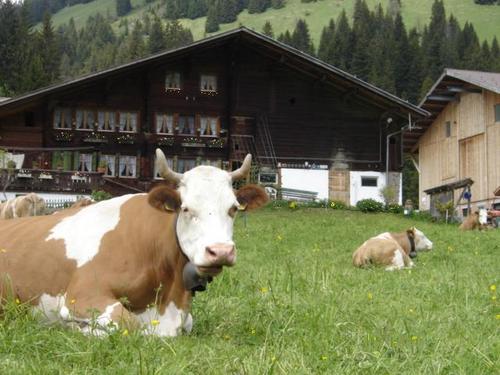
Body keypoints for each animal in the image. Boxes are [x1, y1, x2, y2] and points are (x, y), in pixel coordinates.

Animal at [0, 151, 270, 338]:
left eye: (233, 208)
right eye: (185, 208)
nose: (220, 251)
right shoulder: (81, 295)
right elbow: (128, 325)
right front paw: (76, 329)